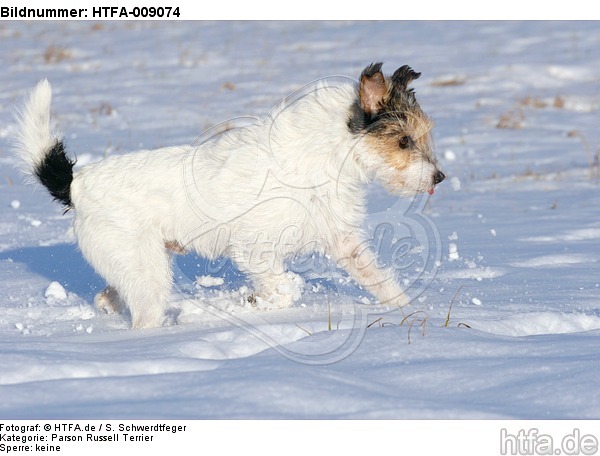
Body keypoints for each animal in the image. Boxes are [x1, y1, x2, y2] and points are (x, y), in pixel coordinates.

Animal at [15, 63, 446, 328]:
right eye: (404, 140)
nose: (439, 177)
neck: (328, 152)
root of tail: (77, 182)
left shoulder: (343, 242)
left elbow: (381, 281)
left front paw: (408, 311)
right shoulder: (255, 248)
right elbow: (284, 289)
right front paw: (249, 302)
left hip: (140, 265)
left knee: (110, 296)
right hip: (145, 272)